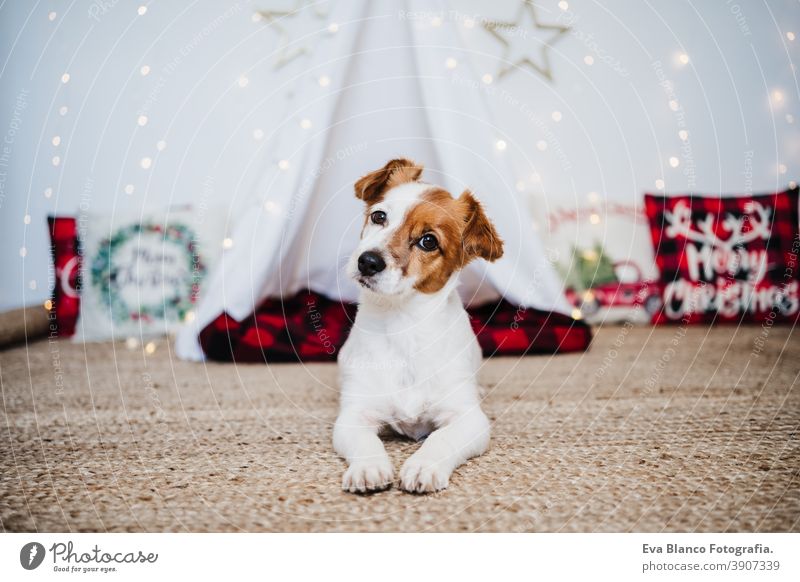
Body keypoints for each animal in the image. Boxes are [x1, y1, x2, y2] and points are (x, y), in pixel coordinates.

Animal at [334, 161, 504, 498]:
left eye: (428, 241)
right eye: (379, 216)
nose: (367, 261)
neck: (403, 325)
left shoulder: (469, 419)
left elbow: (441, 438)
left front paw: (424, 466)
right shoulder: (353, 415)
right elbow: (364, 441)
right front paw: (368, 468)